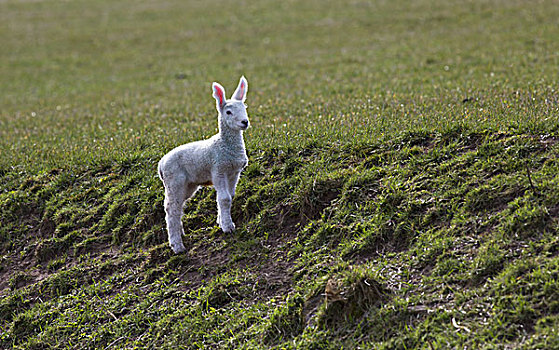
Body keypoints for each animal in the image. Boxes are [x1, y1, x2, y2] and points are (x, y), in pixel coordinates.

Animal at [160, 76, 252, 253]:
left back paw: (180, 232)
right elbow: (224, 198)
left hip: (188, 185)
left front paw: (221, 220)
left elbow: (230, 196)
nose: (245, 122)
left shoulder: (234, 172)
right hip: (174, 181)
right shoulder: (218, 170)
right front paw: (228, 227)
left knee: (178, 206)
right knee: (171, 208)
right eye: (228, 112)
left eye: (244, 107)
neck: (224, 144)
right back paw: (177, 245)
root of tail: (161, 165)